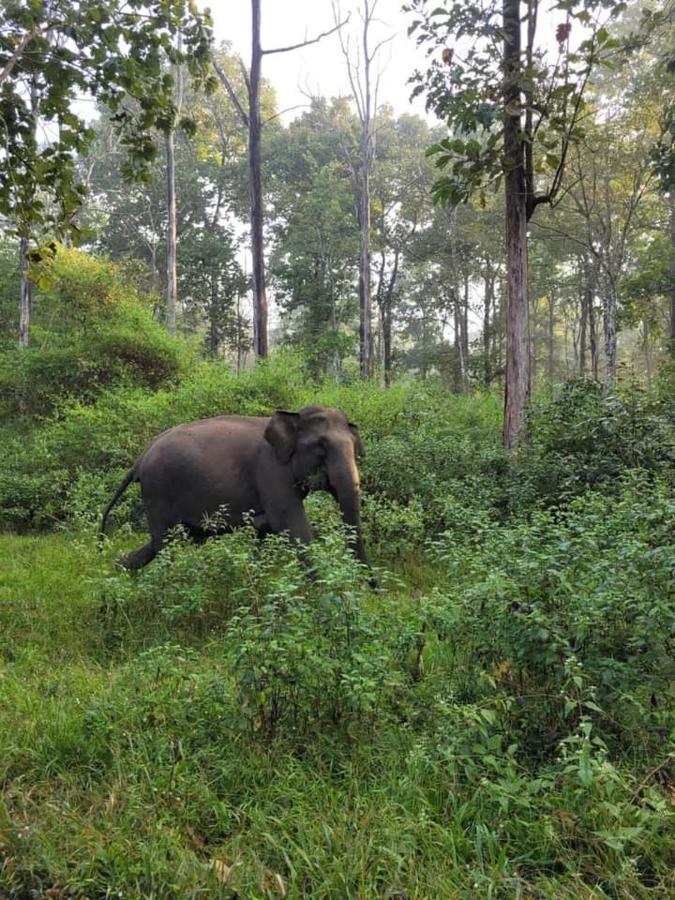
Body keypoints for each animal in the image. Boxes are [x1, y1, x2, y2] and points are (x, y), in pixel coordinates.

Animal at [98, 404, 372, 572]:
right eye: (321, 448)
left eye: (355, 449)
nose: (374, 590)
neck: (292, 415)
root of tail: (141, 458)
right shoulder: (270, 471)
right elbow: (293, 528)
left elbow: (269, 529)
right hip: (158, 490)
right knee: (165, 545)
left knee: (156, 545)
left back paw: (115, 572)